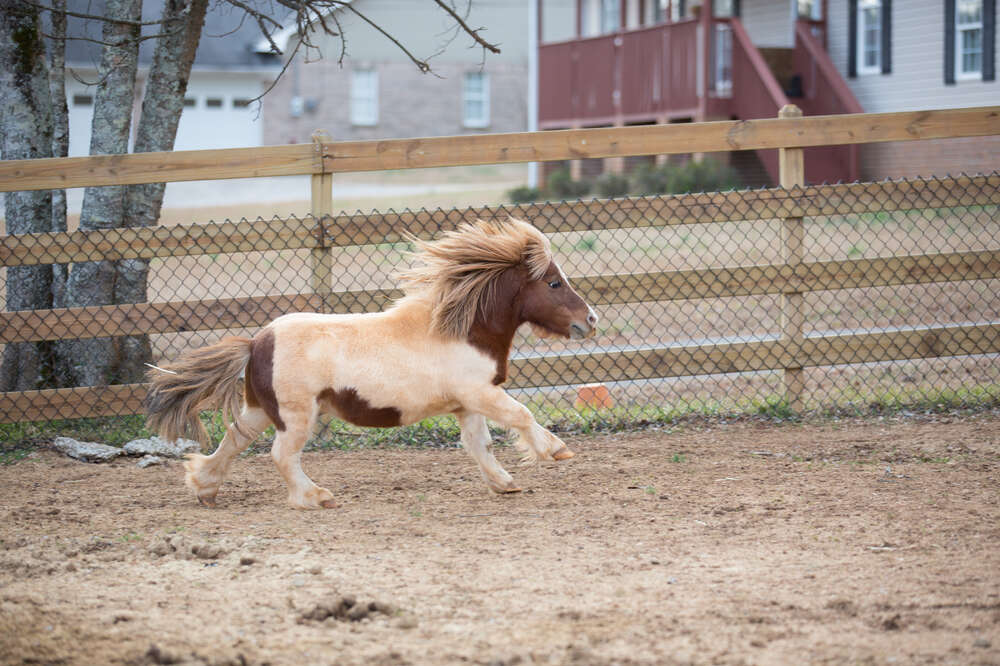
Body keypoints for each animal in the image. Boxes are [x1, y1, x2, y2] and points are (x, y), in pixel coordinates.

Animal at [147, 218, 596, 508]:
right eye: (554, 282)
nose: (590, 320)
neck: (459, 330)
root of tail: (258, 341)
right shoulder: (480, 393)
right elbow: (521, 415)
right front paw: (556, 451)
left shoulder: (467, 404)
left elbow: (478, 444)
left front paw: (504, 484)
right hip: (296, 415)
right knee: (282, 454)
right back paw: (315, 498)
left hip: (260, 409)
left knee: (233, 440)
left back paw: (205, 488)